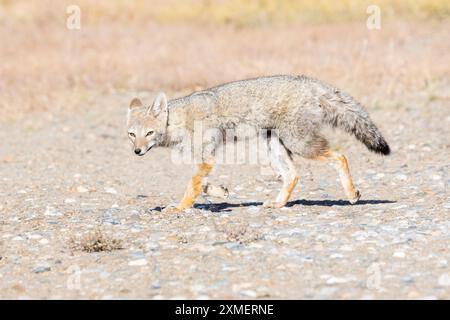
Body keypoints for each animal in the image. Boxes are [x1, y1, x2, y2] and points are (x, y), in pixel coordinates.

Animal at [126, 75, 390, 212]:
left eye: (149, 133)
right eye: (131, 135)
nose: (137, 151)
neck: (178, 121)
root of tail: (309, 82)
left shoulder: (206, 157)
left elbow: (193, 185)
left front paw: (180, 207)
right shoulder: (202, 158)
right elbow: (202, 184)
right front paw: (220, 191)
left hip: (300, 144)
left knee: (340, 155)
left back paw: (352, 193)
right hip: (274, 147)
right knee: (293, 175)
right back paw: (278, 204)